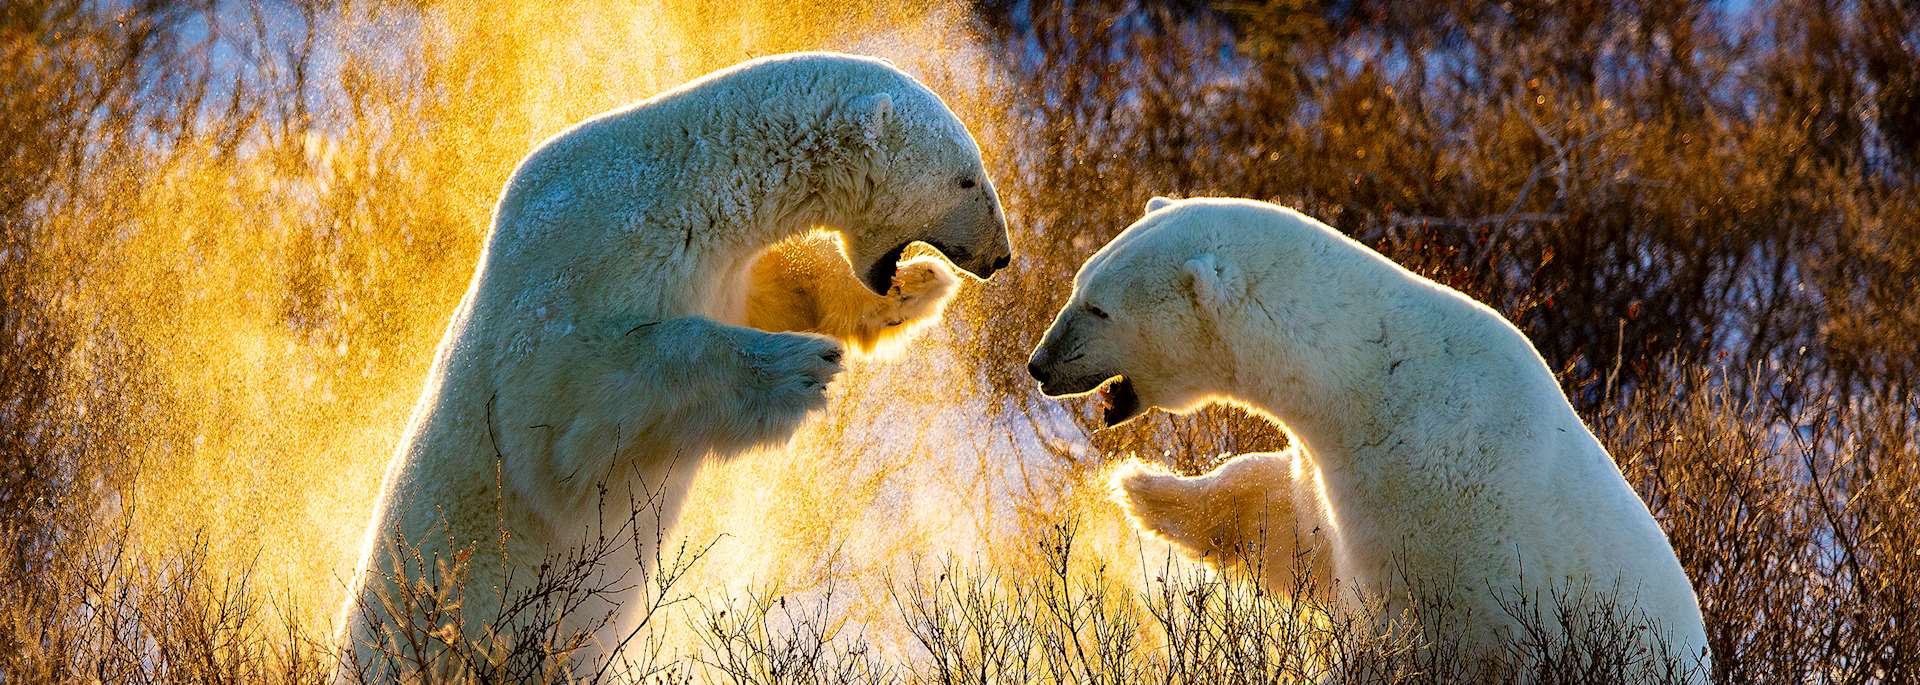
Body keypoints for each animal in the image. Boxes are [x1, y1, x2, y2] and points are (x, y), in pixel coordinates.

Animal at [338, 52, 1009, 675]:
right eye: (967, 180)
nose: (999, 257)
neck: (683, 185)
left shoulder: (719, 272)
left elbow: (777, 290)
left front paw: (919, 285)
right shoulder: (577, 264)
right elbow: (560, 412)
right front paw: (798, 365)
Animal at [1027, 196, 1710, 679]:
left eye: (1100, 309)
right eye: (1078, 284)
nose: (1039, 364)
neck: (1370, 382)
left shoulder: (1424, 502)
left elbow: (1396, 629)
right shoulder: (1328, 470)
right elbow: (1287, 525)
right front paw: (1144, 489)